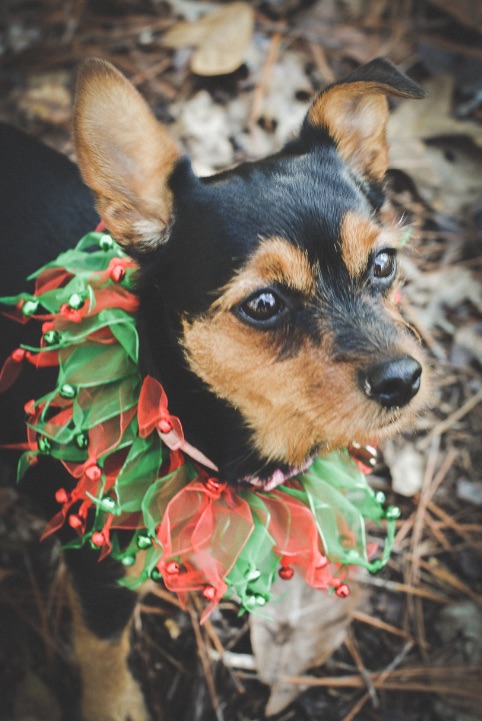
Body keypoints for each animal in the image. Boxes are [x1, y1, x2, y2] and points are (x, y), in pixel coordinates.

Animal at [0, 57, 426, 720]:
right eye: (264, 304)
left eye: (383, 264)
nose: (404, 379)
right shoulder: (98, 567)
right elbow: (103, 648)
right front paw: (116, 704)